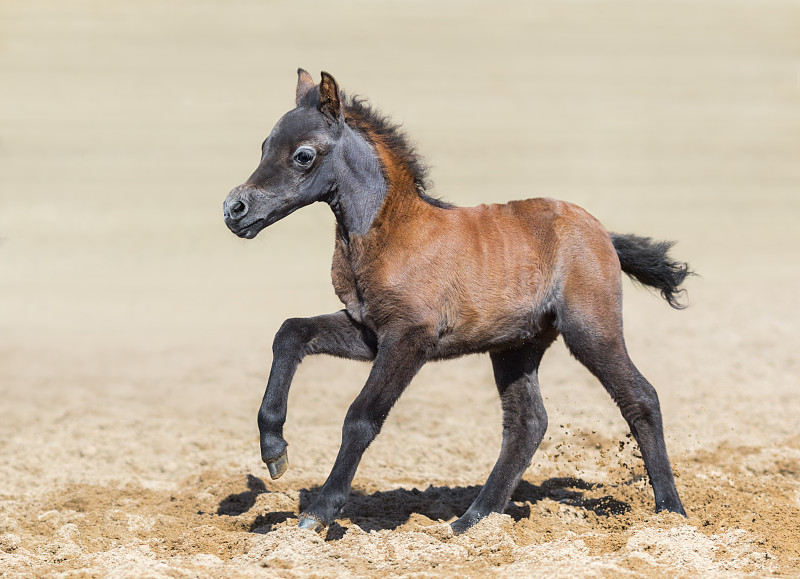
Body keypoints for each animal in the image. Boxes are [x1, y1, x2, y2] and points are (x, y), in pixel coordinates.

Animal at [222, 70, 692, 536]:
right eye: (264, 146)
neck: (391, 233)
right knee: (527, 422)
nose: (234, 208)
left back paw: (672, 514)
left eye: (303, 155)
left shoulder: (410, 338)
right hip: (516, 346)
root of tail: (603, 233)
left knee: (641, 397)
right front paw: (274, 451)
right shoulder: (368, 333)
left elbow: (361, 416)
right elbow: (291, 331)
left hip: (591, 329)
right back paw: (471, 524)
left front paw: (317, 513)